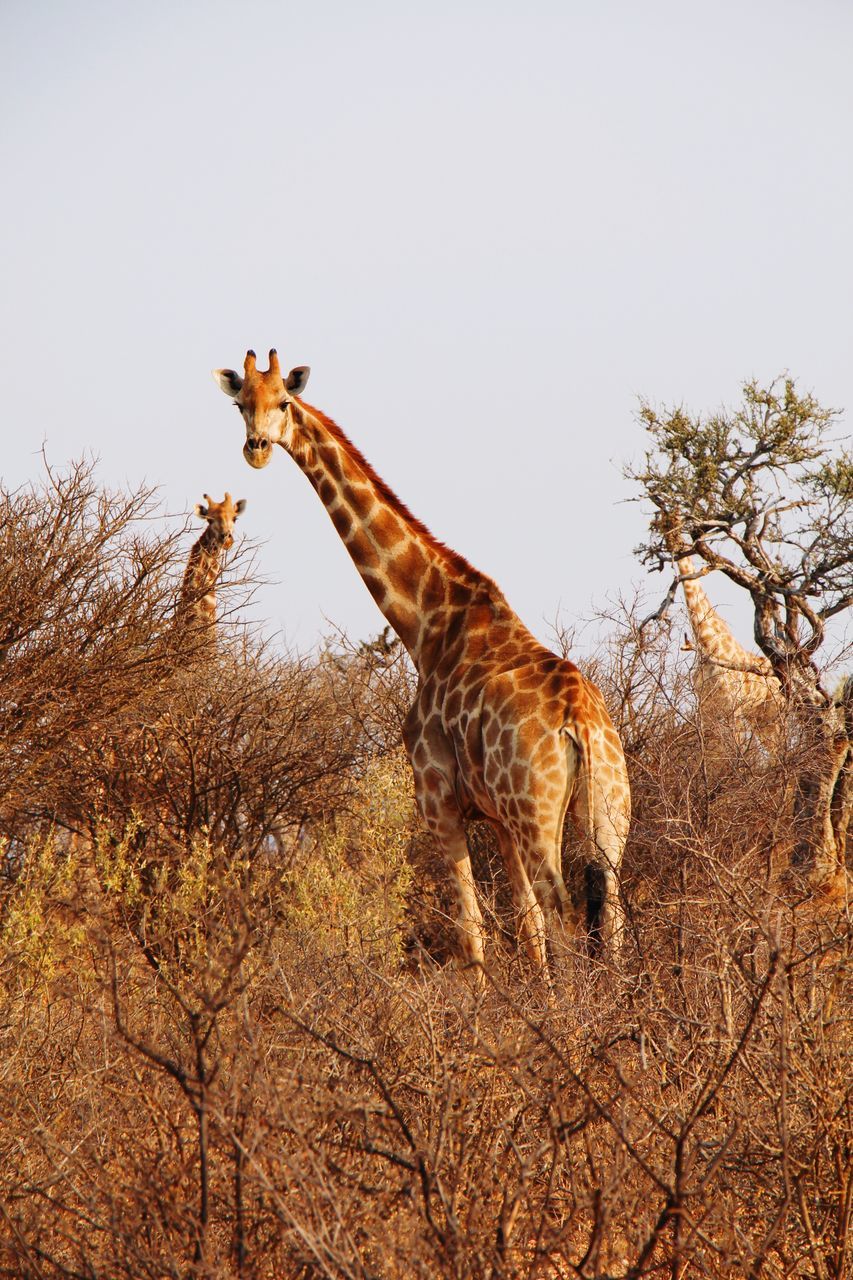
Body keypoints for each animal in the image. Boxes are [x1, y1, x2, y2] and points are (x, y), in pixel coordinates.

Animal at [210, 350, 627, 977]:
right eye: (240, 404)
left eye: (282, 401)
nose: (256, 448)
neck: (426, 624)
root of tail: (581, 723)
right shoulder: (496, 816)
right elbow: (525, 930)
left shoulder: (438, 799)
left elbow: (473, 936)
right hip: (606, 812)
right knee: (609, 916)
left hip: (538, 812)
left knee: (568, 917)